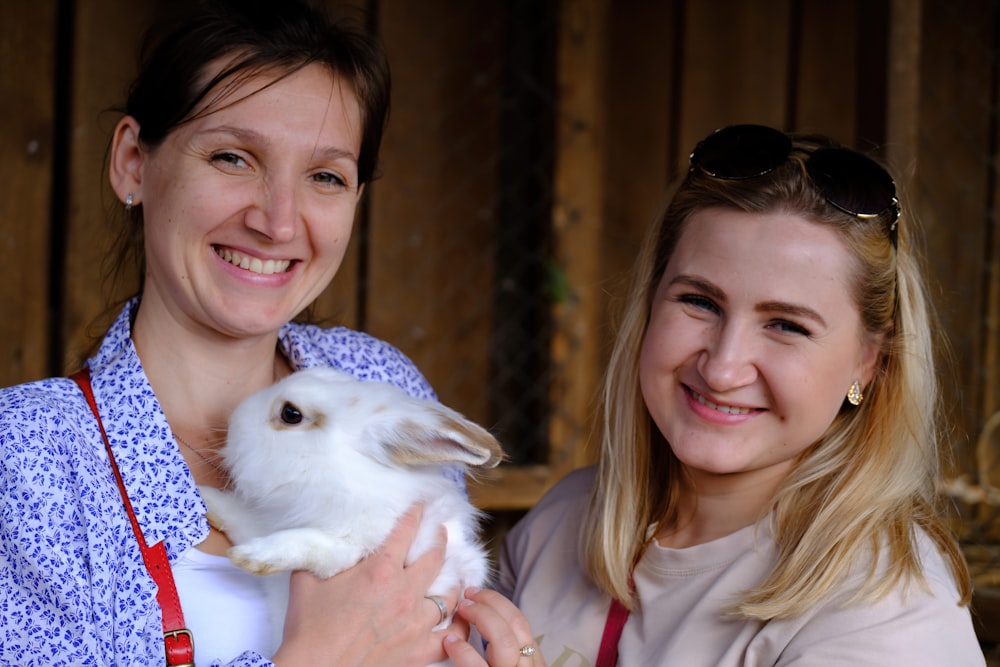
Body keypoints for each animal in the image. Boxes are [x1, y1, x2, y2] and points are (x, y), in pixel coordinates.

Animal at [199, 368, 504, 660]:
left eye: (291, 414)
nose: (233, 422)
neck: (336, 468)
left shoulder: (355, 545)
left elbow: (309, 543)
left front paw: (253, 557)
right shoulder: (261, 523)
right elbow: (239, 517)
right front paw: (205, 498)